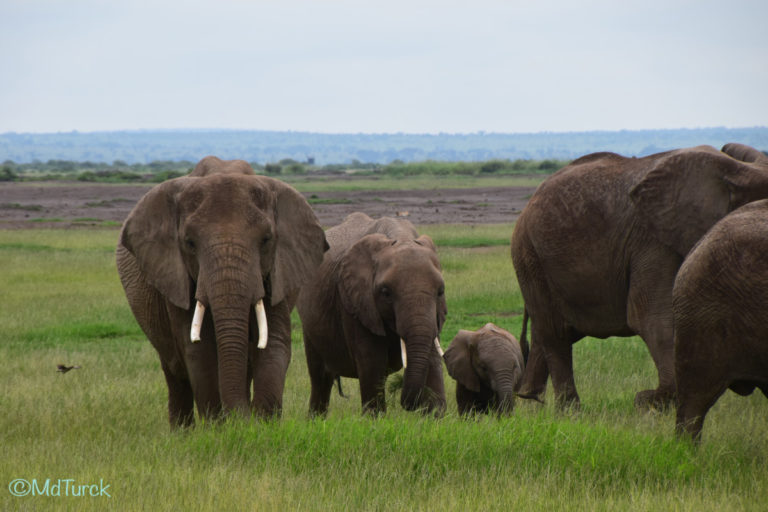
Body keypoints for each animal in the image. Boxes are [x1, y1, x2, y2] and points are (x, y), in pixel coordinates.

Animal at [117, 157, 328, 428]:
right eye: (189, 242)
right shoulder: (175, 276)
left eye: (266, 240)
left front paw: (262, 425)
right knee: (175, 373)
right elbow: (199, 349)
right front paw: (221, 428)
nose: (243, 416)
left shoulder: (281, 269)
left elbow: (274, 342)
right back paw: (182, 432)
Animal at [296, 212, 448, 416]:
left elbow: (432, 359)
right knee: (320, 377)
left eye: (440, 291)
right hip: (310, 324)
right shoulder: (354, 303)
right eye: (386, 292)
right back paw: (316, 419)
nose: (408, 404)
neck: (401, 237)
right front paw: (375, 418)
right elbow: (372, 361)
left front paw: (434, 416)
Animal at [512, 142, 768, 410]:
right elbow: (650, 317)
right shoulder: (651, 241)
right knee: (556, 332)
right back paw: (569, 411)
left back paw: (529, 398)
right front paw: (646, 401)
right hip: (529, 254)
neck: (735, 171)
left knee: (550, 330)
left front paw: (648, 400)